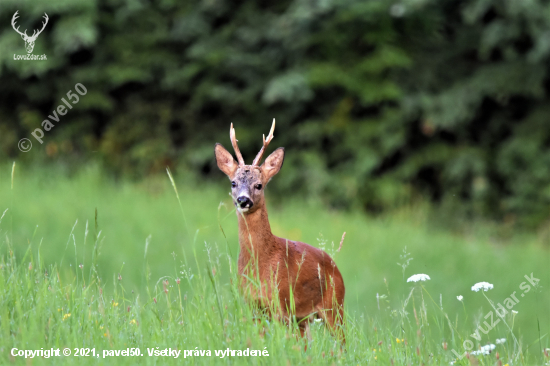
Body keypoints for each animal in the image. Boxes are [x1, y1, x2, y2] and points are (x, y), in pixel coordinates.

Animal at [215, 119, 344, 340]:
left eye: (259, 185)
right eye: (233, 182)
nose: (243, 200)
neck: (261, 262)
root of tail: (336, 268)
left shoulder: (280, 304)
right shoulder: (253, 306)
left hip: (334, 307)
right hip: (304, 318)